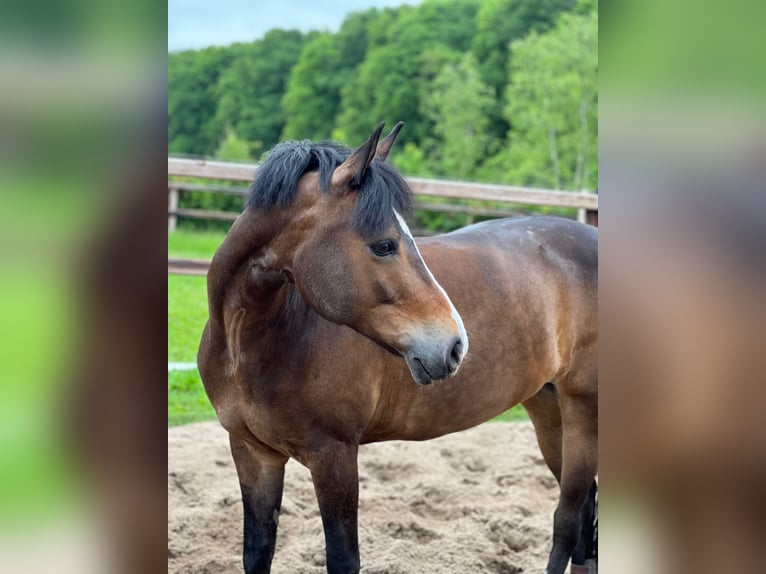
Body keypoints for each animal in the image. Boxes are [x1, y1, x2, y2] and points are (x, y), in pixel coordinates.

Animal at [198, 122, 598, 574]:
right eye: (385, 245)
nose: (455, 346)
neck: (249, 346)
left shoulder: (334, 457)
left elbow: (343, 558)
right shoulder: (253, 453)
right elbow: (257, 551)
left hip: (583, 409)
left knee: (568, 517)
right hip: (548, 409)